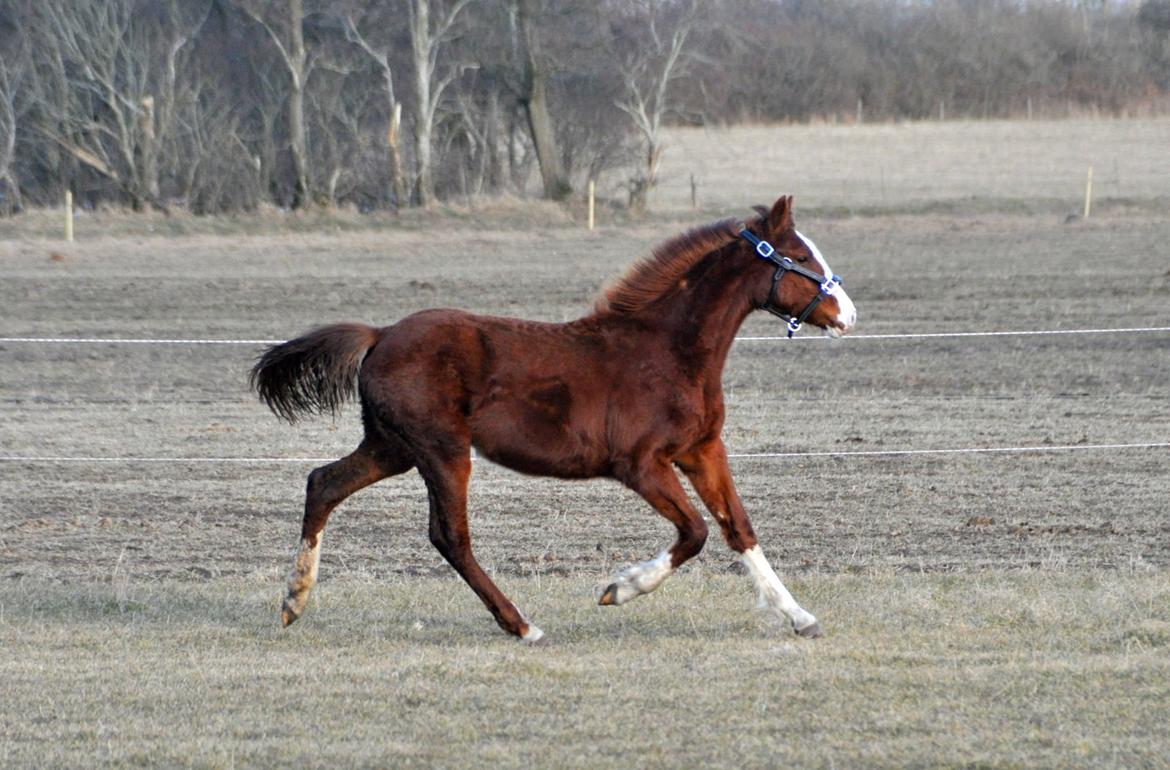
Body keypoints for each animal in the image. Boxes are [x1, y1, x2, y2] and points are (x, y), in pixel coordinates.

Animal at [253, 195, 861, 636]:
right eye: (800, 259)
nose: (849, 315)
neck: (668, 351)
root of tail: (379, 336)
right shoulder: (641, 465)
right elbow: (694, 532)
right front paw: (620, 587)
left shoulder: (702, 450)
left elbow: (739, 529)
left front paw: (801, 617)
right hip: (441, 450)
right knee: (450, 536)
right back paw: (522, 626)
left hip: (392, 448)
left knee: (324, 483)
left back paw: (293, 600)